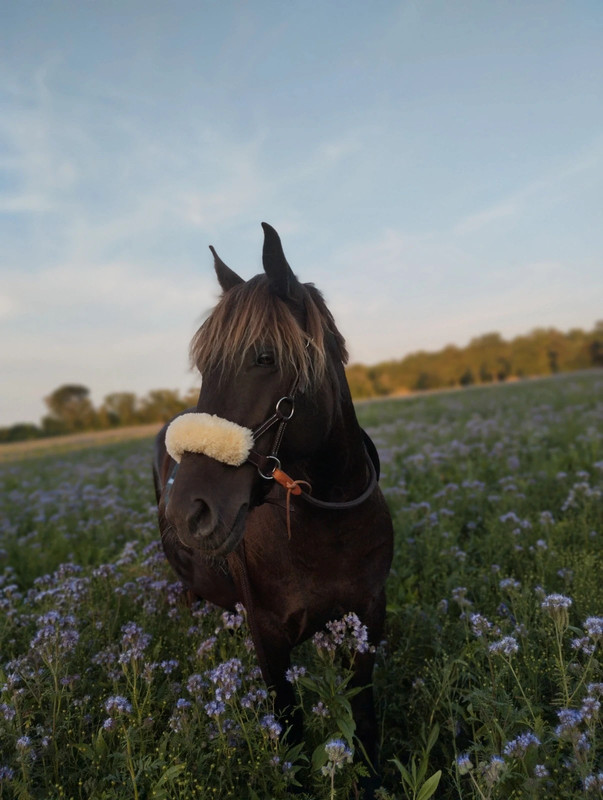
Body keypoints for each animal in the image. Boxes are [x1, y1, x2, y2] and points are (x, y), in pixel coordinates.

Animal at [153, 223, 394, 792]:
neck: (327, 523)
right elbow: (289, 728)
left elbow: (364, 715)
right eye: (205, 366)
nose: (187, 512)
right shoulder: (268, 637)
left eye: (265, 357)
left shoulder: (368, 618)